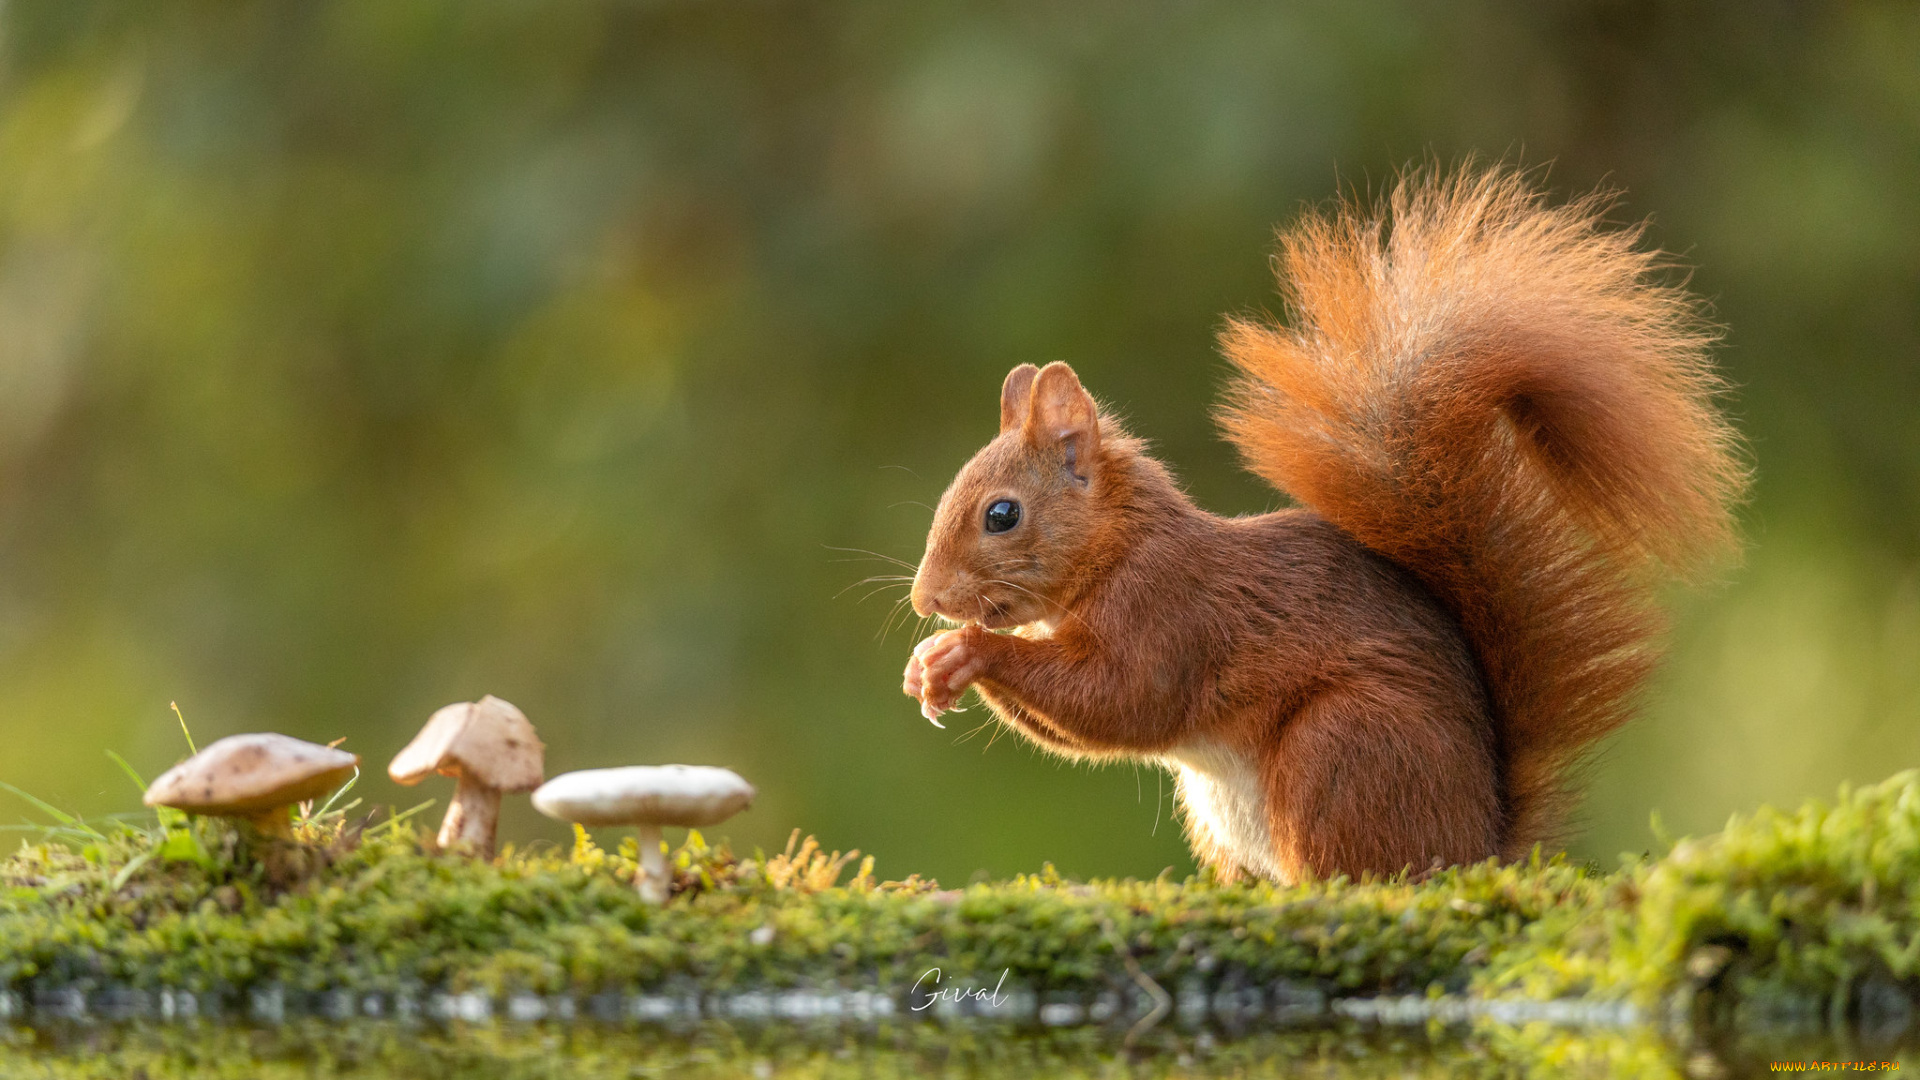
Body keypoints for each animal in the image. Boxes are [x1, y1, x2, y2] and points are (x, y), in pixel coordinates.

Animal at [894, 164, 1743, 880]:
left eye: (1002, 515)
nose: (926, 600)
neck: (1120, 548)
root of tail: (1479, 843)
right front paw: (927, 666)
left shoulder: (1172, 612)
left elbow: (1122, 699)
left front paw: (967, 650)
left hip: (1343, 746)